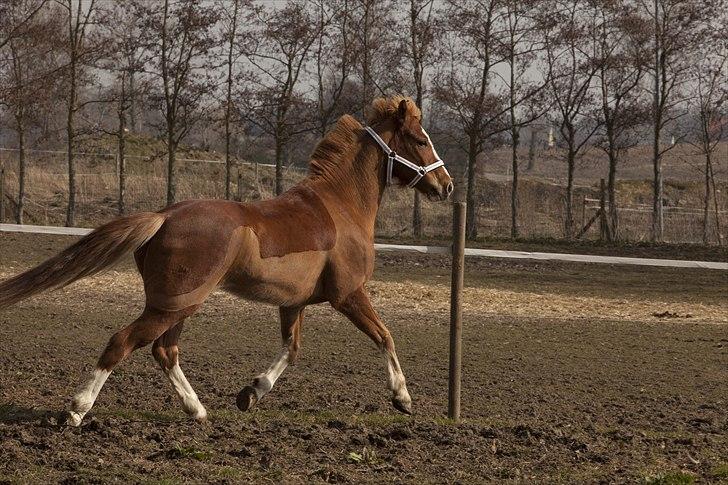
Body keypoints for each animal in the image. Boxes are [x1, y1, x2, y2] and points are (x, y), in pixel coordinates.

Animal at [0, 96, 452, 426]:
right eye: (420, 139)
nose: (445, 185)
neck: (340, 207)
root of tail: (164, 216)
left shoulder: (293, 303)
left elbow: (292, 350)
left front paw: (250, 393)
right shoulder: (349, 294)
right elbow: (385, 336)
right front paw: (403, 398)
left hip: (177, 306)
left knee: (165, 351)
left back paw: (198, 411)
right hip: (172, 305)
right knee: (123, 343)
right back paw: (76, 410)